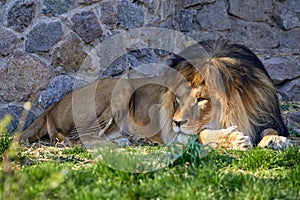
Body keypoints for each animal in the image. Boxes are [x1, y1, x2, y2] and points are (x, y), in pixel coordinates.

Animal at [19, 39, 290, 150]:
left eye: (202, 99)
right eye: (178, 99)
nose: (175, 122)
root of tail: (51, 107)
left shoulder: (266, 115)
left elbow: (270, 129)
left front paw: (275, 140)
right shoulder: (180, 136)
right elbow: (203, 134)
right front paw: (234, 139)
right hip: (121, 87)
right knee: (75, 139)